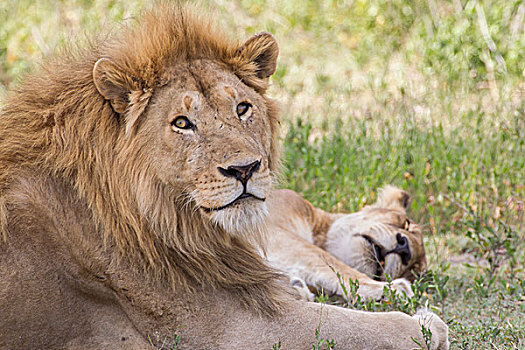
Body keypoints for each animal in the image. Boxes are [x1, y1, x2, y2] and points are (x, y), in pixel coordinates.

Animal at [266, 186, 426, 300]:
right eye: (406, 225)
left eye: (413, 268)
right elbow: (334, 265)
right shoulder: (273, 231)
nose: (404, 248)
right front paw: (394, 289)